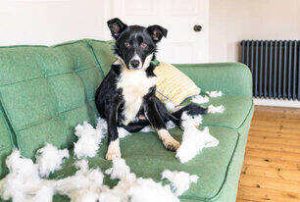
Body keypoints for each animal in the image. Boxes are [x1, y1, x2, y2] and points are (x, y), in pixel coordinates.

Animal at [95, 18, 207, 159]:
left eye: (144, 45)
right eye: (126, 44)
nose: (135, 63)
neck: (135, 75)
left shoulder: (149, 101)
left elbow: (160, 125)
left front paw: (170, 141)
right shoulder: (112, 103)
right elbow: (112, 130)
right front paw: (113, 150)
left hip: (158, 103)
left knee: (172, 117)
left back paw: (187, 125)